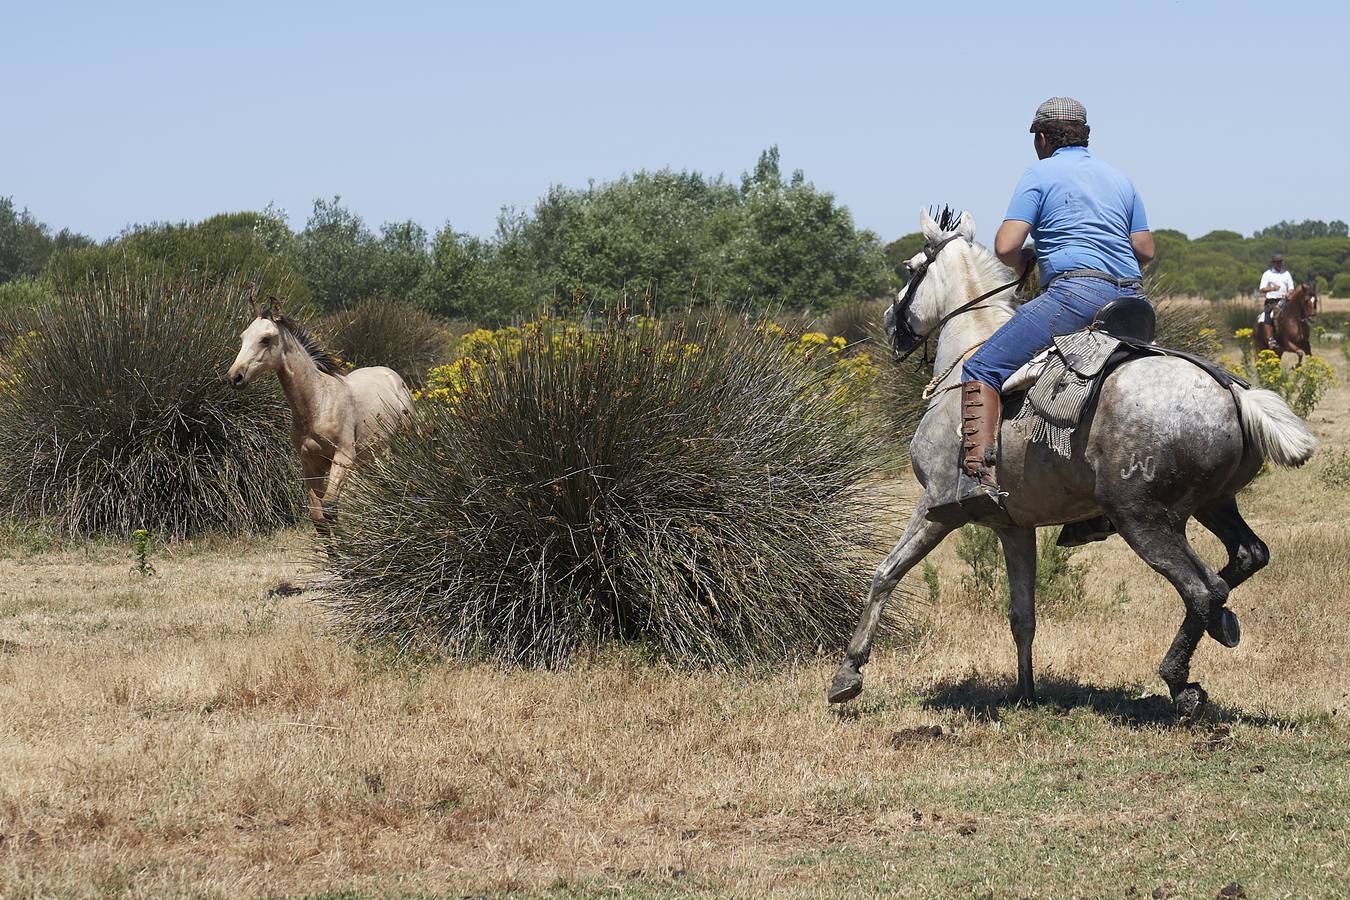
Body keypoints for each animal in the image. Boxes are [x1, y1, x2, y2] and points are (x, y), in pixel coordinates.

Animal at [226, 310, 410, 534]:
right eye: (243, 337)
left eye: (265, 339)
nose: (235, 376)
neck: (319, 402)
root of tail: (392, 376)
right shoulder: (310, 463)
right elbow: (318, 517)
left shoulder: (343, 457)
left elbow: (331, 509)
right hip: (374, 454)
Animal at [826, 211, 1312, 717]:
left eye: (909, 268)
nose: (889, 322)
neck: (966, 361)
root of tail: (1232, 391)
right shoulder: (1013, 526)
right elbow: (1022, 615)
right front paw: (1025, 693)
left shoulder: (936, 507)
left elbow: (886, 574)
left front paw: (849, 672)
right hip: (1213, 504)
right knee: (1246, 557)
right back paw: (1221, 625)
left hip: (1144, 519)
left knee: (1204, 589)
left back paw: (1181, 681)